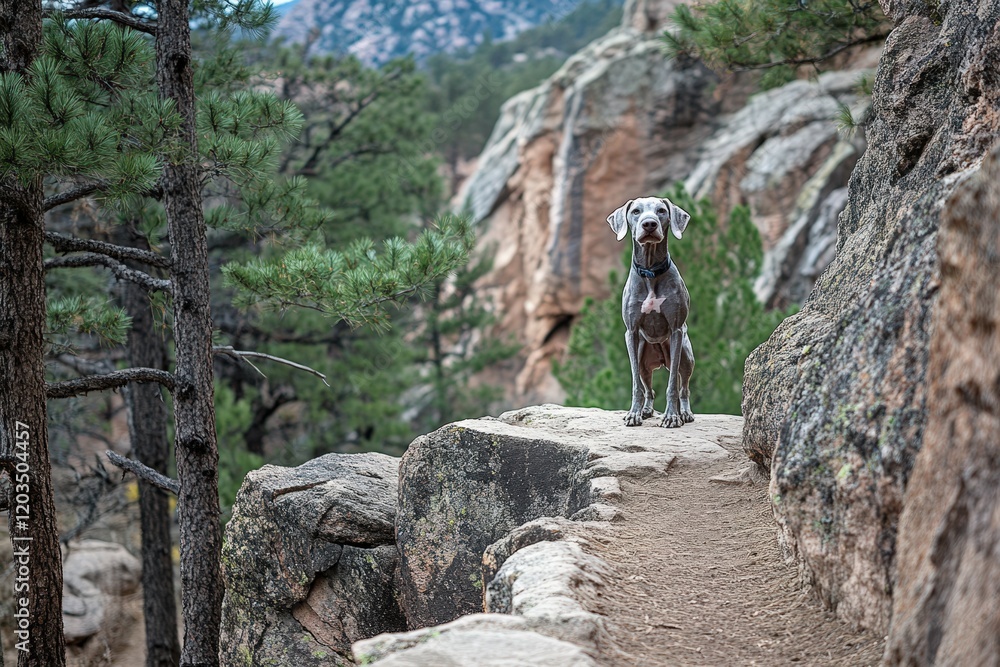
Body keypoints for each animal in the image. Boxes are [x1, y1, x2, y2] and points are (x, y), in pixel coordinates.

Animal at [608, 197, 696, 428]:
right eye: (636, 211)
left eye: (662, 210)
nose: (649, 224)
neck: (650, 272)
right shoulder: (631, 332)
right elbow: (636, 386)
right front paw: (633, 414)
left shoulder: (676, 330)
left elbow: (673, 385)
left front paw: (672, 416)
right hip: (642, 358)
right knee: (648, 387)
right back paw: (646, 410)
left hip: (685, 356)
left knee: (684, 387)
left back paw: (684, 413)